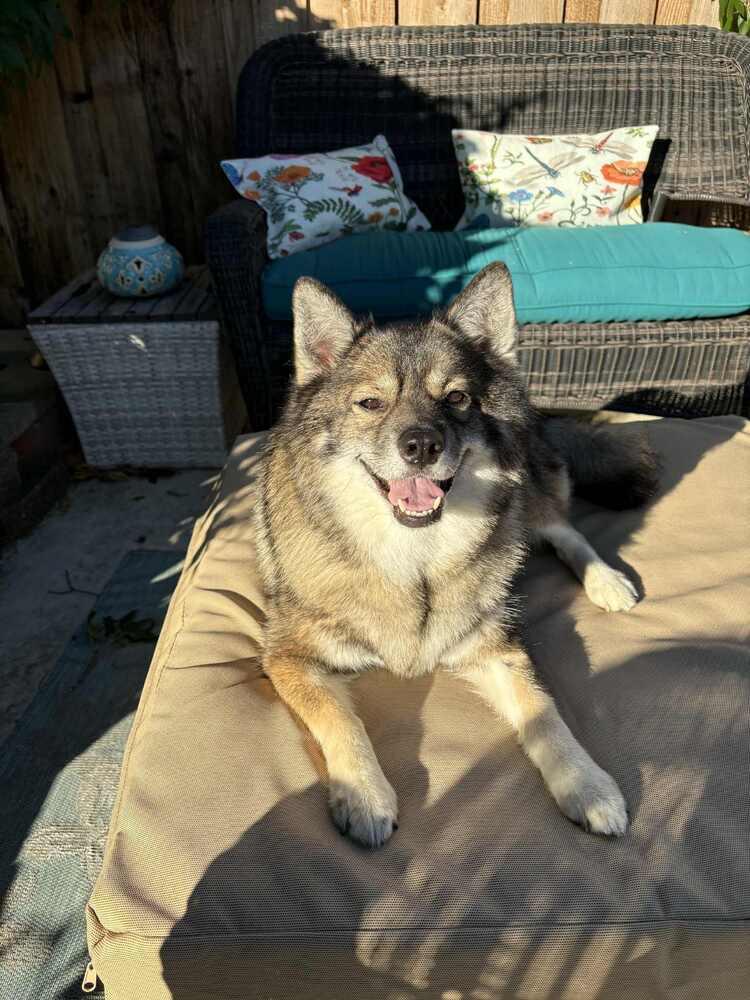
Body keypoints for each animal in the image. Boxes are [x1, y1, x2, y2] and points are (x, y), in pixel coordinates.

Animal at [256, 263, 658, 848]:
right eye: (370, 403)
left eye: (458, 398)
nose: (421, 445)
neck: (414, 558)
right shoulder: (287, 657)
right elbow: (338, 717)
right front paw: (364, 794)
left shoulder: (497, 649)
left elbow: (544, 711)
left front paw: (587, 784)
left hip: (527, 494)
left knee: (561, 528)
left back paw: (606, 581)